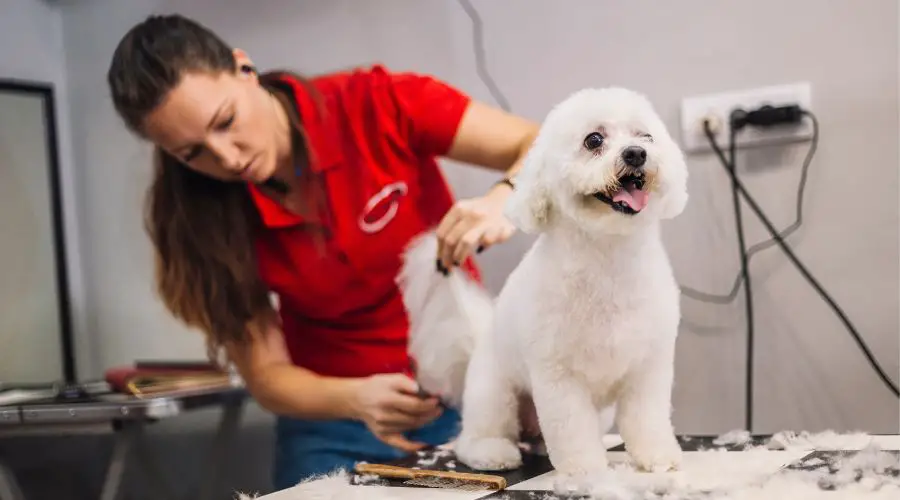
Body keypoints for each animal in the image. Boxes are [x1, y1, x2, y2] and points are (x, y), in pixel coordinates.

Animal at [400, 88, 688, 482]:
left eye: (646, 136)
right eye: (593, 140)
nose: (636, 154)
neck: (608, 259)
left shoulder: (649, 366)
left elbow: (648, 419)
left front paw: (657, 457)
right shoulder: (558, 375)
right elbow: (572, 427)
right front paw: (584, 470)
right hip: (493, 392)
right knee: (477, 435)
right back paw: (491, 453)